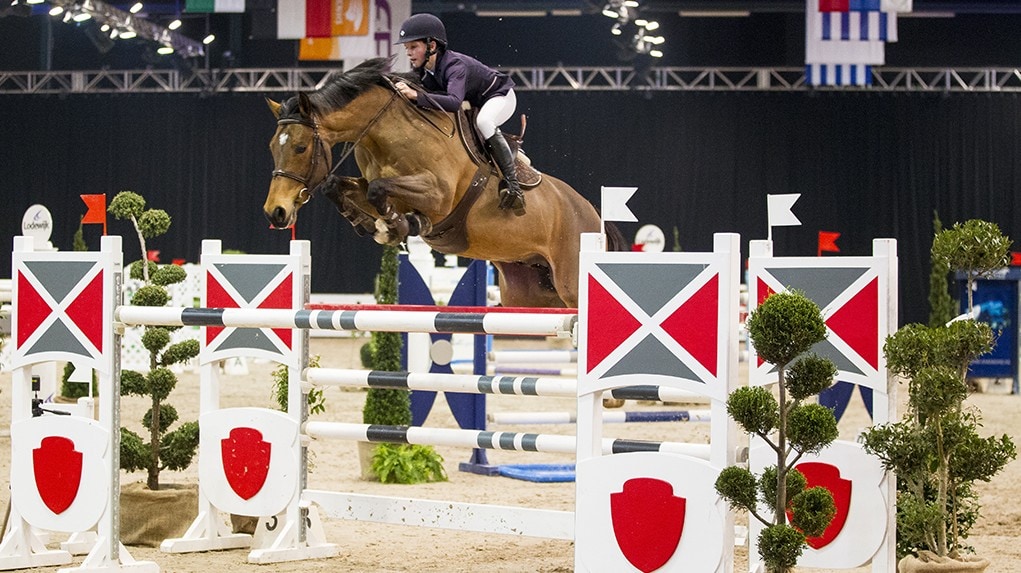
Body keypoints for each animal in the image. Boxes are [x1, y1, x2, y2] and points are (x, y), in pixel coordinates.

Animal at [263, 56, 620, 308]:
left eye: (300, 147)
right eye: (272, 147)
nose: (275, 212)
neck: (388, 133)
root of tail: (594, 216)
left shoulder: (439, 196)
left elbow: (382, 193)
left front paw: (397, 227)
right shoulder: (383, 188)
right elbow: (337, 186)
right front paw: (369, 223)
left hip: (570, 283)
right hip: (529, 294)